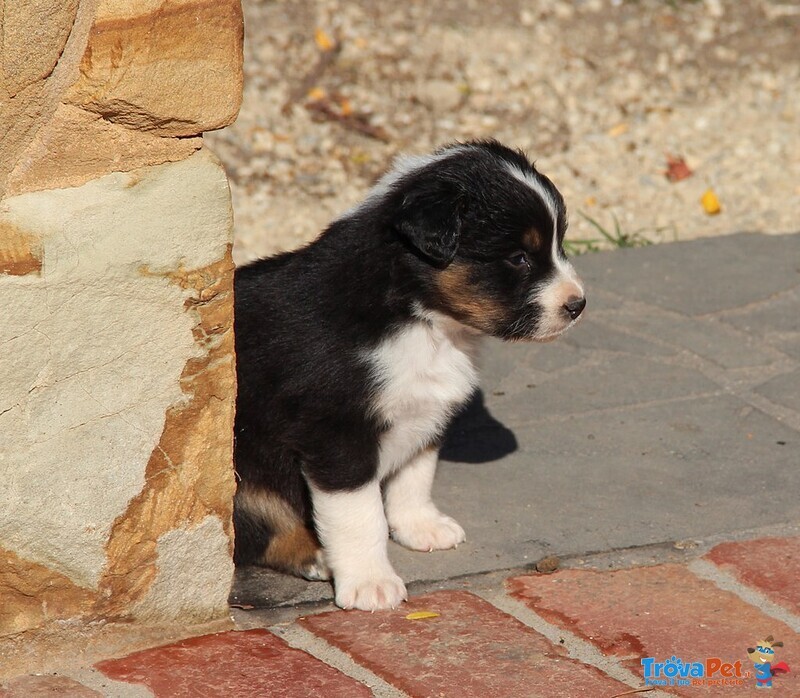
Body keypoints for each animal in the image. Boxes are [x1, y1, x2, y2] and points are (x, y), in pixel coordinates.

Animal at [234, 140, 584, 608]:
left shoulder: (426, 414)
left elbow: (414, 477)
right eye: (518, 258)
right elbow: (359, 515)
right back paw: (317, 555)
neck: (422, 320)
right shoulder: (337, 435)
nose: (578, 304)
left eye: (558, 244)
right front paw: (371, 582)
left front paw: (422, 527)